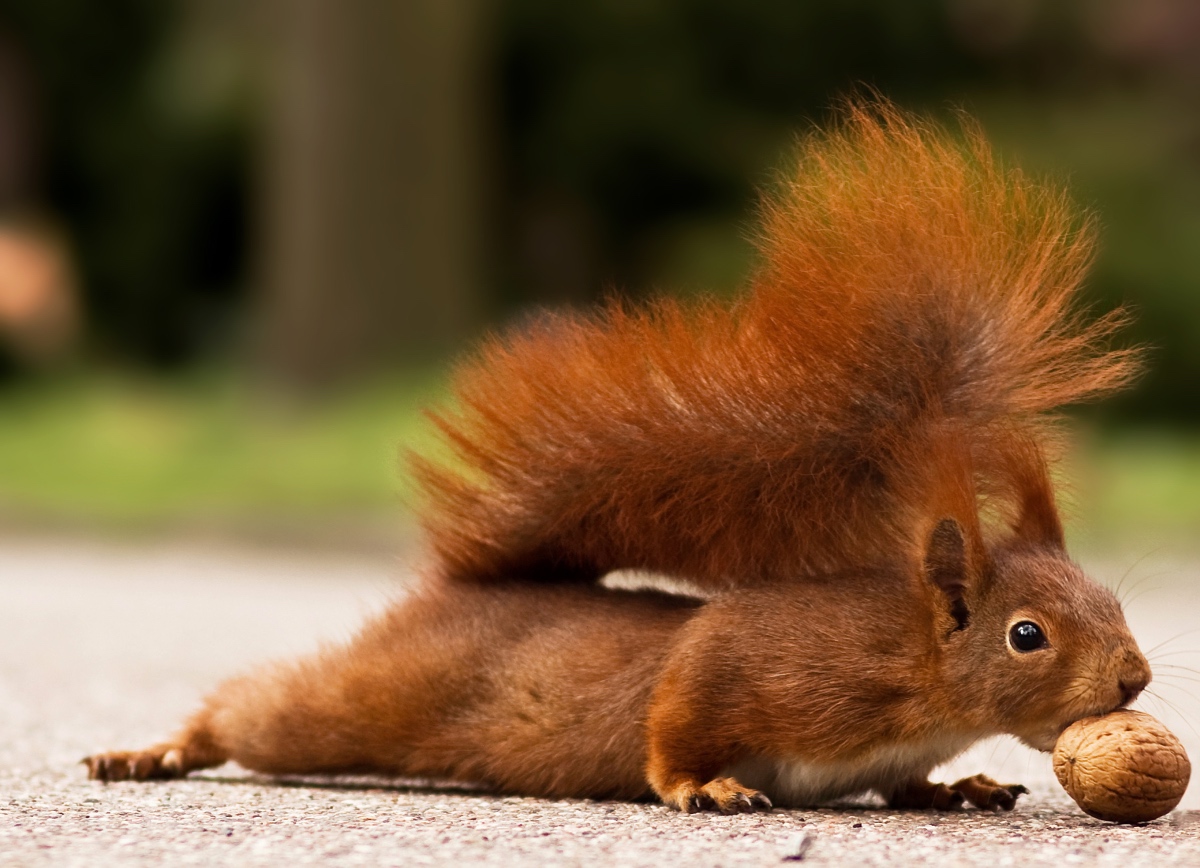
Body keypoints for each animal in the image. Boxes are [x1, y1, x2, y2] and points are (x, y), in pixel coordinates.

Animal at [84, 102, 1152, 816]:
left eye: (1113, 600)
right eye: (1027, 635)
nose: (1137, 679)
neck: (917, 675)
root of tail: (461, 591)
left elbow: (906, 782)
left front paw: (955, 785)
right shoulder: (754, 660)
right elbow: (676, 708)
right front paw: (701, 787)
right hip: (368, 701)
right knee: (257, 710)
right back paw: (158, 752)